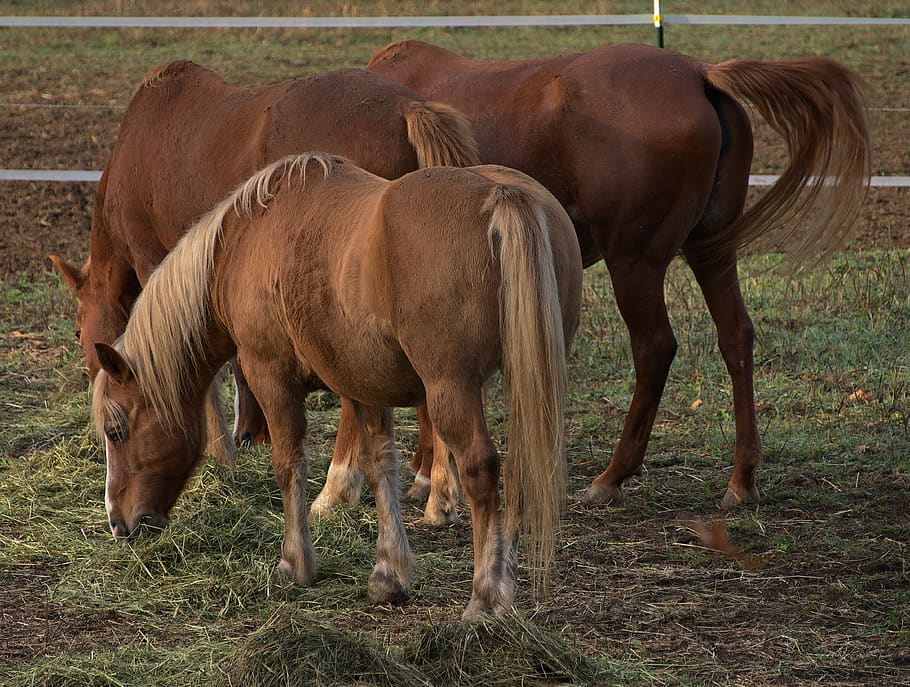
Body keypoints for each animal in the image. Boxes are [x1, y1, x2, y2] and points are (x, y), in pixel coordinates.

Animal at [90, 153, 583, 619]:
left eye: (116, 431)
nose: (118, 523)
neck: (244, 240)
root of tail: (501, 194)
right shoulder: (363, 385)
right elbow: (380, 465)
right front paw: (389, 574)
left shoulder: (270, 375)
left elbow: (288, 464)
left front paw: (296, 562)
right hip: (528, 382)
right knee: (519, 473)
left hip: (452, 388)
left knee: (482, 470)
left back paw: (486, 596)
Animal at [365, 40, 872, 509]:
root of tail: (699, 74)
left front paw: (426, 473)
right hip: (711, 253)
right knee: (736, 337)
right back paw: (742, 478)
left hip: (634, 263)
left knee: (655, 349)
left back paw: (613, 475)